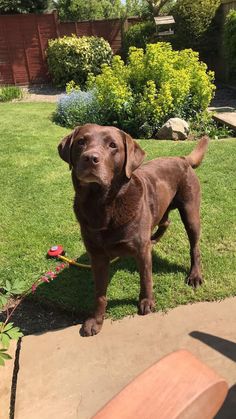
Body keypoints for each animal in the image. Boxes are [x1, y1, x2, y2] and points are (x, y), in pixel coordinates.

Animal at [57, 123, 208, 336]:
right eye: (81, 142)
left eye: (112, 145)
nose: (90, 158)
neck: (102, 205)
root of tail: (181, 158)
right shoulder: (97, 256)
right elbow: (99, 293)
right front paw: (96, 320)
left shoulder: (140, 250)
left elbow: (146, 278)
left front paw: (146, 302)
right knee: (165, 222)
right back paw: (154, 238)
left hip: (190, 211)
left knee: (194, 246)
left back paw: (194, 275)